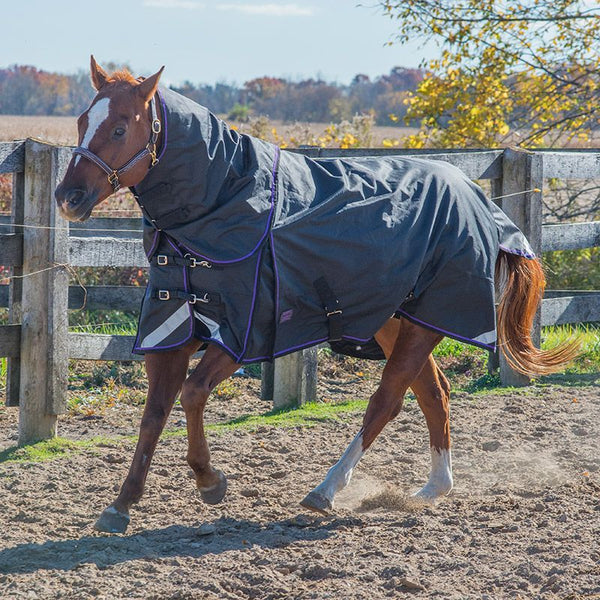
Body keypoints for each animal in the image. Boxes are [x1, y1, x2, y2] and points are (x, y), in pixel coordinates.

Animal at [56, 58, 580, 532]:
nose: (68, 198)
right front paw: (121, 505)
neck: (223, 202)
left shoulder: (245, 333)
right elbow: (153, 416)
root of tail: (479, 198)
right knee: (434, 394)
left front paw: (210, 481)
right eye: (81, 121)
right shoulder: (169, 331)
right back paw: (433, 488)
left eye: (119, 127)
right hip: (395, 322)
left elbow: (192, 395)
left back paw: (327, 489)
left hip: (426, 323)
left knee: (388, 399)